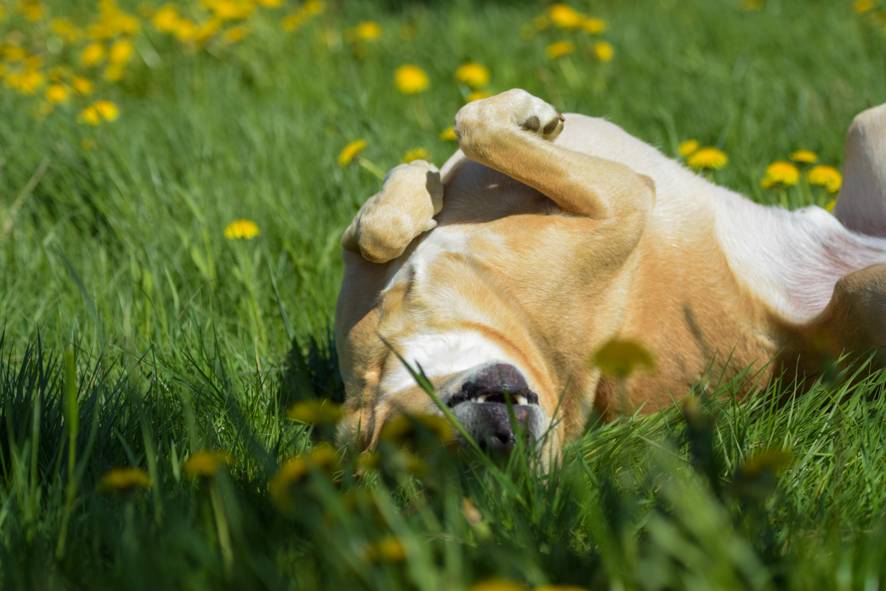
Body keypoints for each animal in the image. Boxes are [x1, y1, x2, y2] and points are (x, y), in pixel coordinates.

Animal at [334, 89, 886, 458]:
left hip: (867, 128)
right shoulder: (623, 198)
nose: (503, 442)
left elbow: (374, 232)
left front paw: (415, 187)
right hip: (864, 290)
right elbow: (479, 128)